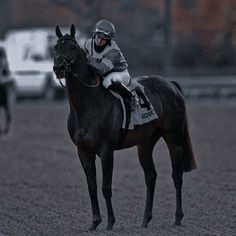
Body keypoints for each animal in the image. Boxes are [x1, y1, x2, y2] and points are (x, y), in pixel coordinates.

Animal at [53, 25, 197, 230]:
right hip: (145, 144)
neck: (88, 105)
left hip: (174, 138)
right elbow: (92, 187)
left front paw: (110, 223)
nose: (58, 68)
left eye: (72, 47)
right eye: (56, 46)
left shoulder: (106, 151)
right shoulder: (83, 151)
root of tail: (170, 84)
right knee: (150, 177)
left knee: (176, 175)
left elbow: (106, 187)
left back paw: (177, 218)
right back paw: (145, 220)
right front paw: (94, 222)